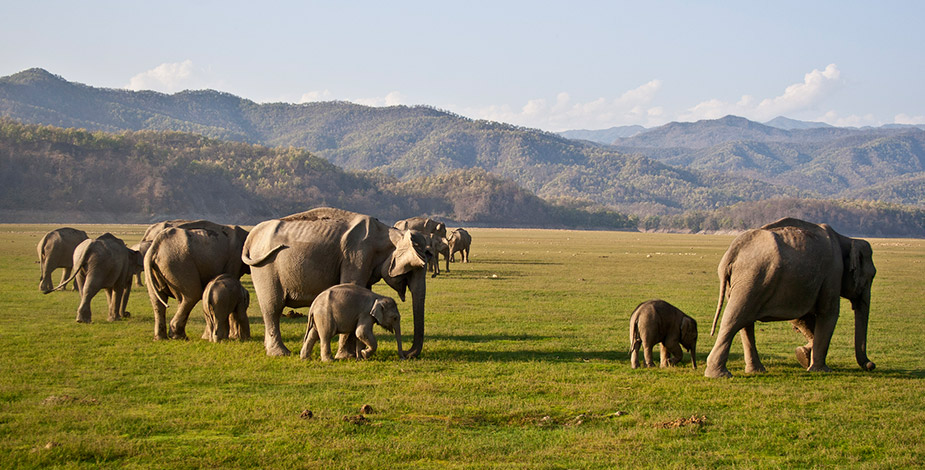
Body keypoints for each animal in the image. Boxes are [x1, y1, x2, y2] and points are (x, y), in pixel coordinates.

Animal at [238, 207, 426, 358]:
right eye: (413, 269)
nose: (407, 353)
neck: (387, 231)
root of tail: (252, 235)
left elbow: (363, 290)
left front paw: (354, 355)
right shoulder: (356, 256)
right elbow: (352, 283)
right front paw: (346, 356)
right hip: (265, 267)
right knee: (273, 307)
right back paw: (280, 353)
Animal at [704, 218, 876, 378]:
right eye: (871, 276)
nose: (871, 365)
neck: (845, 239)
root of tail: (733, 252)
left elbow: (801, 318)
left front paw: (803, 355)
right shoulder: (833, 272)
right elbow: (828, 313)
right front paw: (819, 369)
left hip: (743, 282)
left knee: (745, 322)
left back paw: (755, 370)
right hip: (753, 278)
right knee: (735, 318)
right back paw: (719, 374)